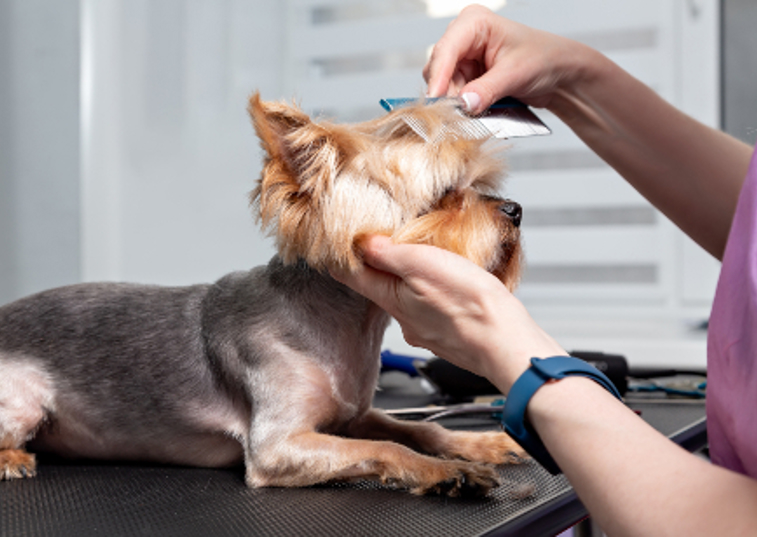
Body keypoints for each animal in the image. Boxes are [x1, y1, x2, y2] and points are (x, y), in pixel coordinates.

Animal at [0, 91, 524, 494]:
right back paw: (12, 459)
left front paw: (479, 444)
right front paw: (447, 472)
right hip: (24, 400)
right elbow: (387, 446)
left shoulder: (353, 417)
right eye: (443, 197)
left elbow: (414, 426)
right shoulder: (279, 445)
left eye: (480, 185)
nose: (515, 210)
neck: (344, 326)